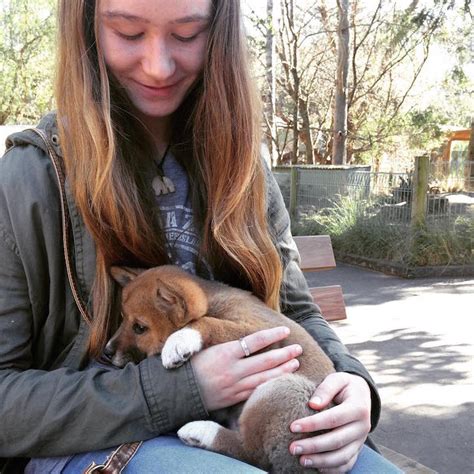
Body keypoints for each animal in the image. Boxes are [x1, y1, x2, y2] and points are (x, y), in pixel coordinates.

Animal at [107, 264, 336, 472]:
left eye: (140, 328)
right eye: (122, 319)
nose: (106, 352)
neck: (212, 301)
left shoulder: (263, 333)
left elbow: (207, 321)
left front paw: (179, 340)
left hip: (282, 388)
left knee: (252, 453)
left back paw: (202, 432)